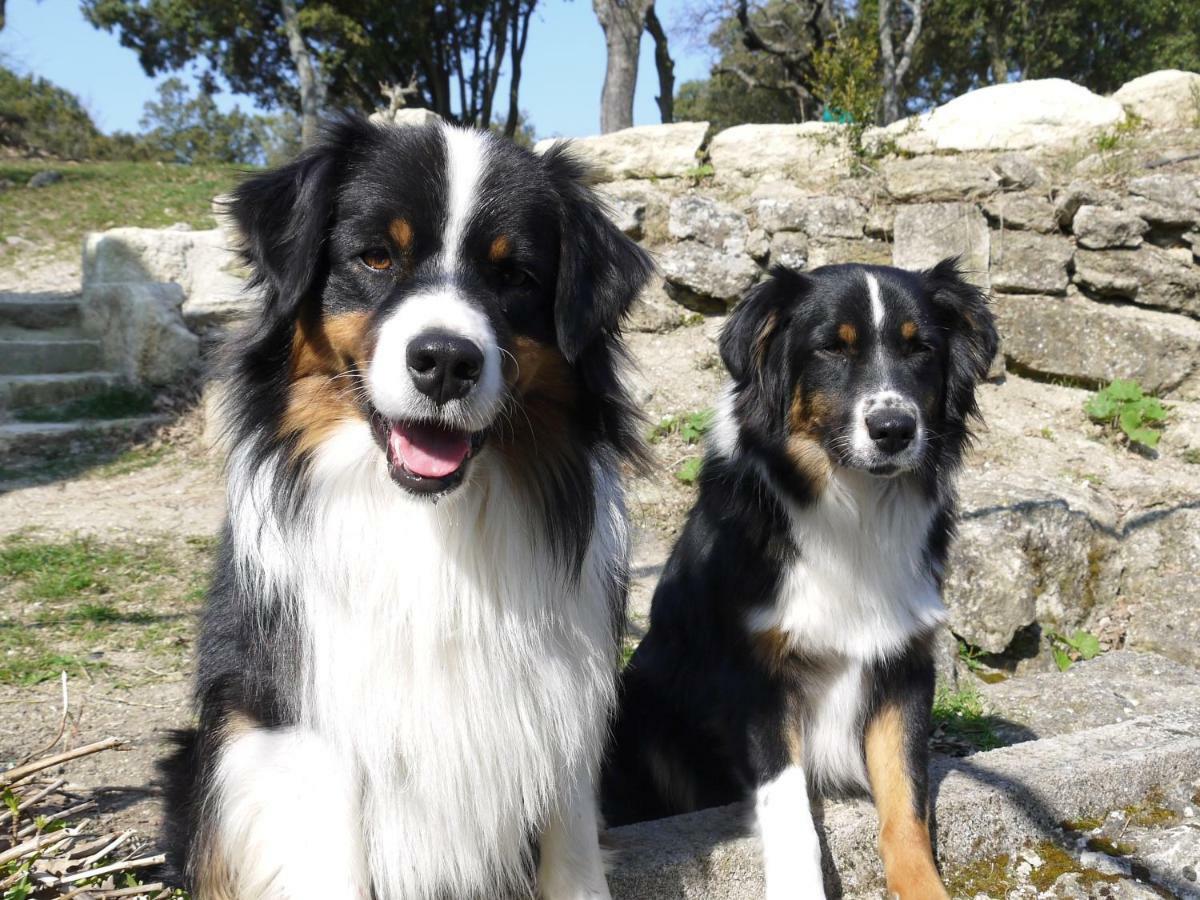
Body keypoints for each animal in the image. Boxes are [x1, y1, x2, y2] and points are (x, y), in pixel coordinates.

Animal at [604, 256, 998, 897]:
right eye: (832, 348)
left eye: (921, 348)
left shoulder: (903, 666)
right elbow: (790, 814)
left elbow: (907, 804)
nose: (894, 429)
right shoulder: (759, 677)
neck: (853, 509)